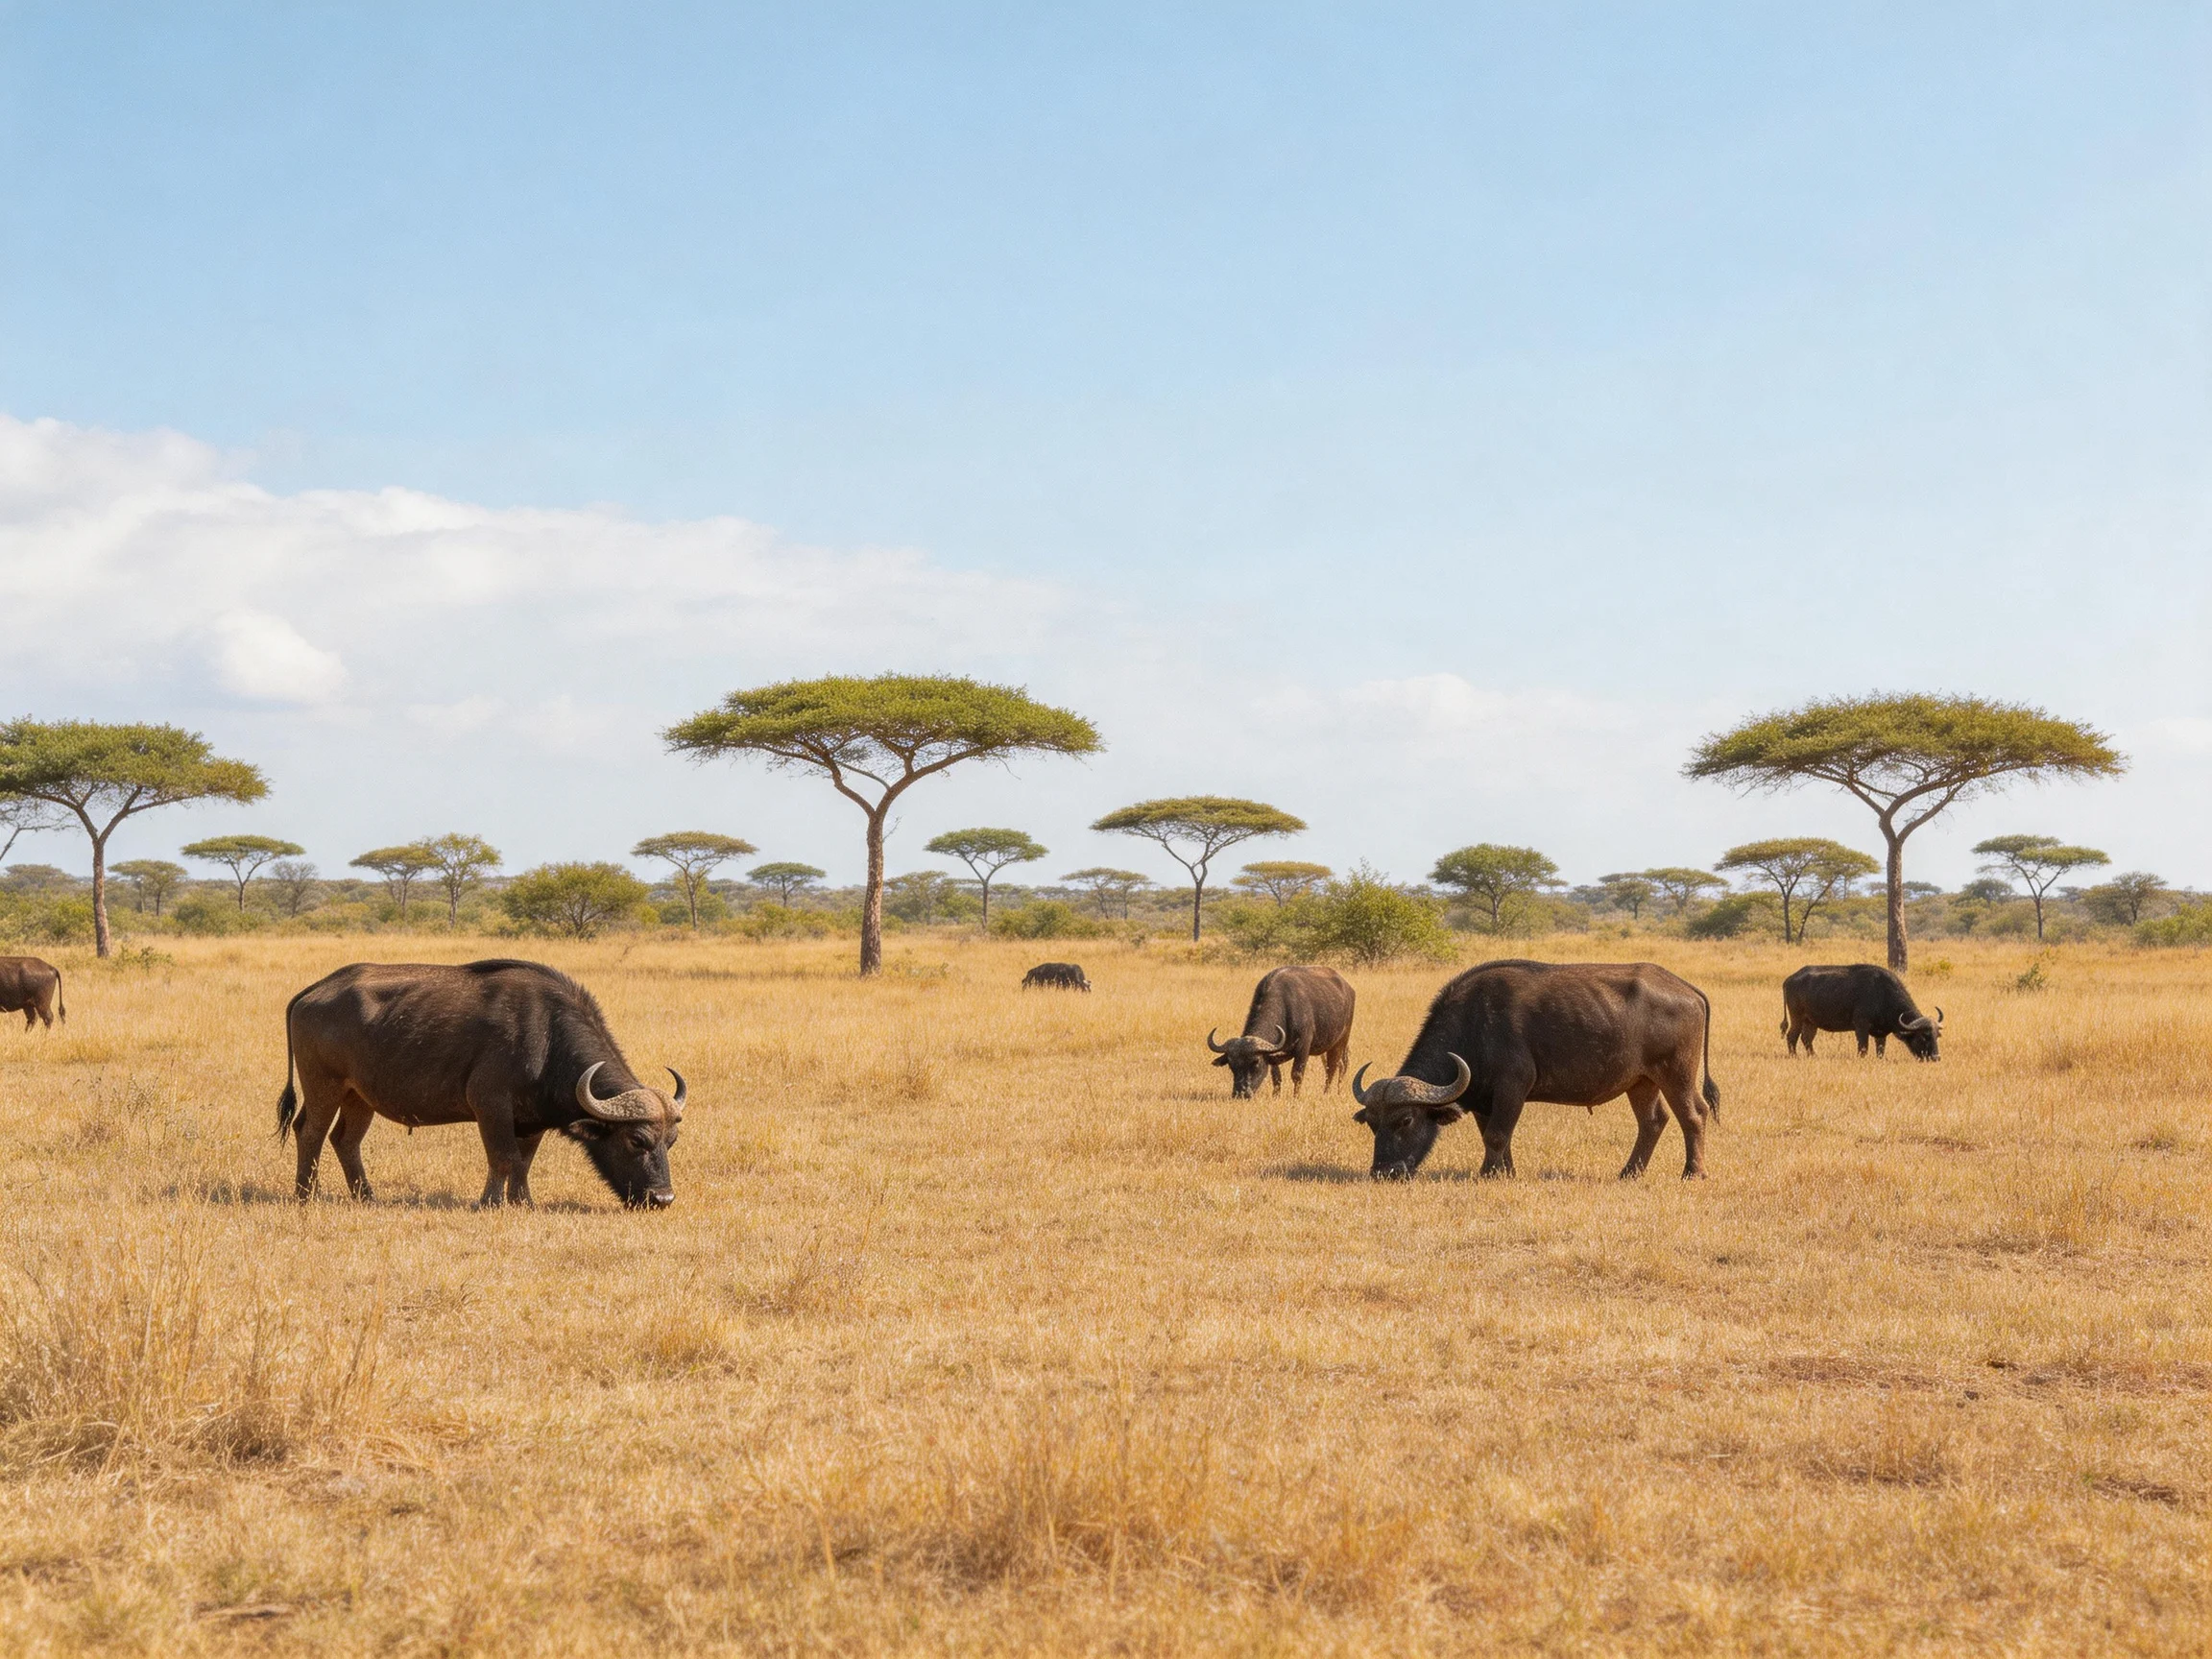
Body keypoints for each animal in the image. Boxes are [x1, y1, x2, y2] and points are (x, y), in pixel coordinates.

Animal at [278, 959, 685, 1209]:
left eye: (671, 1141)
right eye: (636, 1140)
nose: (662, 1199)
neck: (546, 1035)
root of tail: (316, 990)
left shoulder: (531, 1120)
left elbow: (523, 1161)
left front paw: (523, 1202)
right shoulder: (490, 1105)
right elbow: (503, 1157)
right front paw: (490, 1202)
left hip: (359, 1097)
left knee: (345, 1140)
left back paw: (366, 1197)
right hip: (324, 1086)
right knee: (310, 1132)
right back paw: (306, 1194)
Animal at [1208, 964, 1355, 1098]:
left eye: (1256, 1062)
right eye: (1231, 1064)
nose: (1241, 1094)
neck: (1285, 1007)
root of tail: (1348, 988)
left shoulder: (1303, 1047)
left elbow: (1297, 1074)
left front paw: (1296, 1097)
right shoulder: (1274, 1051)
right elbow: (1276, 1076)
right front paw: (1276, 1096)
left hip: (1341, 1041)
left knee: (1333, 1068)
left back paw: (1328, 1093)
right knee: (1338, 1065)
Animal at [1351, 959, 1720, 1181]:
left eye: (1405, 1120)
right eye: (1372, 1123)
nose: (1383, 1171)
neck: (1476, 1025)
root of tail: (1685, 988)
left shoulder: (1513, 1087)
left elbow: (1498, 1134)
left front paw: (1488, 1174)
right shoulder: (1485, 1099)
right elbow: (1493, 1136)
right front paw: (1504, 1173)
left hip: (1675, 1074)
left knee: (1694, 1114)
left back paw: (1693, 1173)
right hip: (1641, 1082)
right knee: (1653, 1121)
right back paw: (1629, 1172)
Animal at [1781, 964, 1941, 1060]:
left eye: (1936, 1036)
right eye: (1924, 1036)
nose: (1936, 1057)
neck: (1883, 994)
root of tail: (1789, 979)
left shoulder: (1881, 1033)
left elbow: (1880, 1050)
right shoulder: (1861, 1026)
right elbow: (1863, 1048)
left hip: (1811, 1022)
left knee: (1806, 1038)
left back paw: (1814, 1056)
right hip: (1797, 1018)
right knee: (1792, 1036)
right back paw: (1794, 1056)